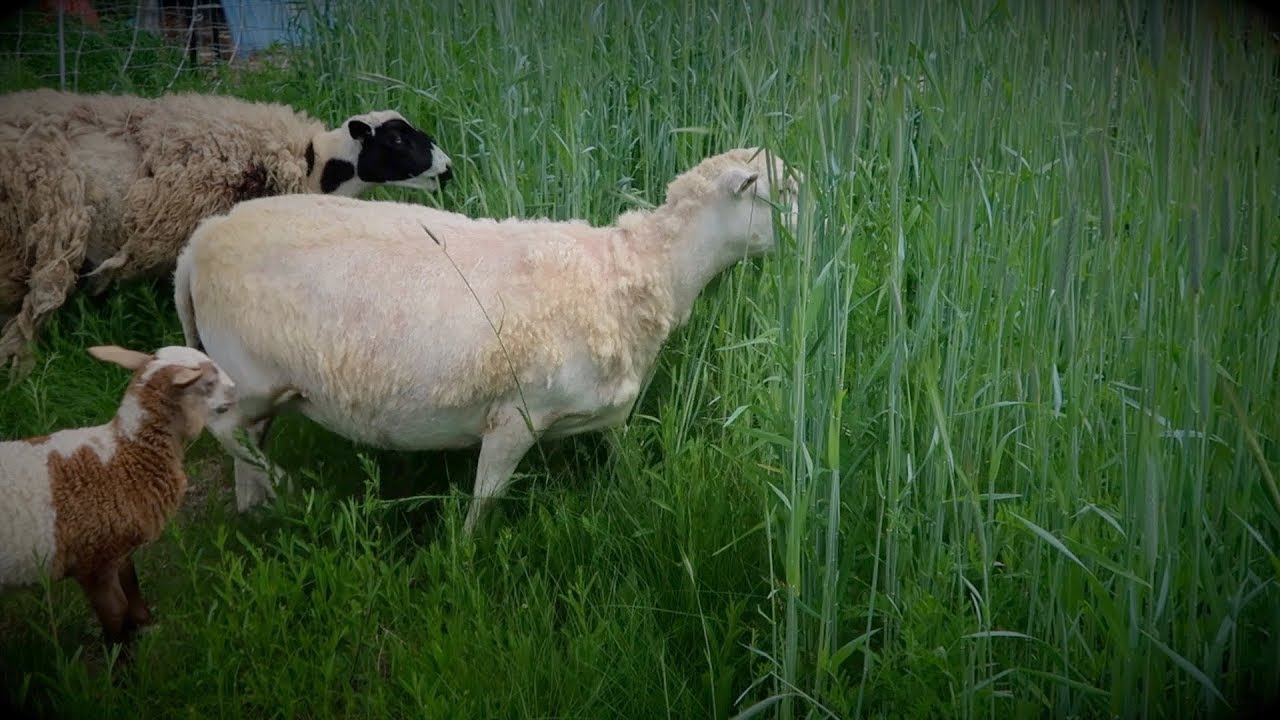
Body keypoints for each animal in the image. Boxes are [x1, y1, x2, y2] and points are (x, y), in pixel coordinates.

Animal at [0, 343, 236, 645]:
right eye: (208, 383)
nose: (237, 390)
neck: (126, 456)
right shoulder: (93, 562)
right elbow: (115, 612)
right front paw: (119, 653)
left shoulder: (119, 549)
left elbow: (132, 589)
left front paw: (147, 625)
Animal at [174, 146, 801, 534]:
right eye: (783, 191)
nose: (817, 233)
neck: (638, 270)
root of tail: (200, 241)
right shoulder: (515, 417)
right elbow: (484, 507)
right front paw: (467, 563)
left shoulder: (606, 413)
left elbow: (627, 466)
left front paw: (643, 499)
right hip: (251, 380)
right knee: (225, 430)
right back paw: (291, 490)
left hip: (264, 392)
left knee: (245, 452)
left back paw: (261, 516)